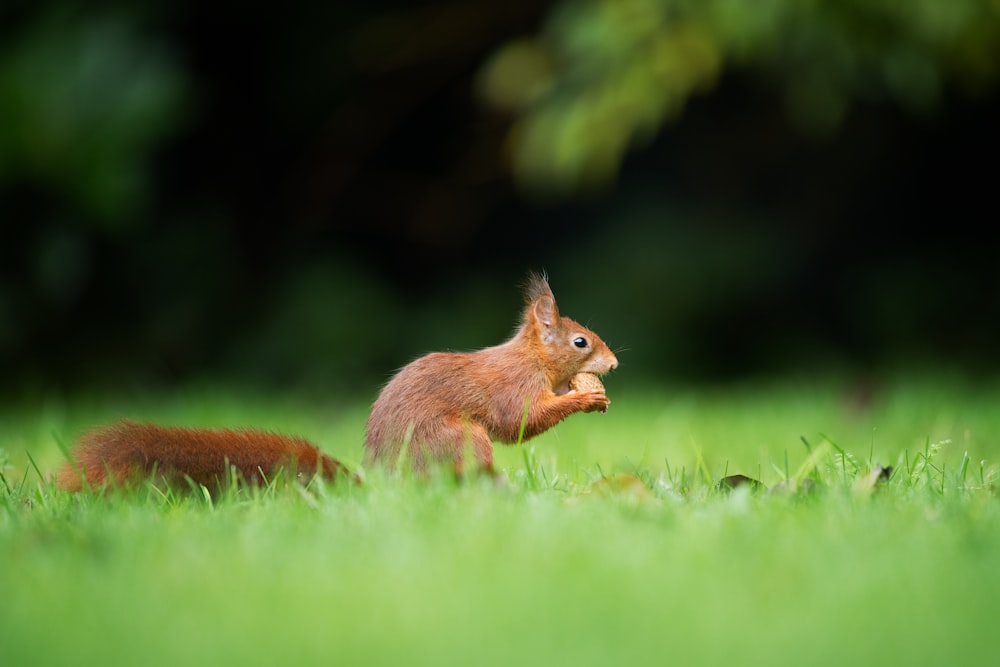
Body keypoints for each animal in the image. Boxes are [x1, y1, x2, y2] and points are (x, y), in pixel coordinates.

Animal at [366, 272, 616, 474]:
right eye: (580, 342)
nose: (614, 363)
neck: (533, 359)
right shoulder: (517, 384)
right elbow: (523, 419)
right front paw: (586, 397)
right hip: (459, 438)